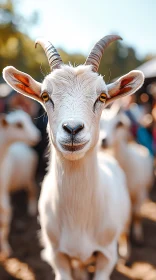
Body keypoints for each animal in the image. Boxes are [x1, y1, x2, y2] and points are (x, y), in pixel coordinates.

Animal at [0, 110, 40, 258]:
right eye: (19, 125)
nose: (37, 136)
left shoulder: (3, 198)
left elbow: (4, 223)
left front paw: (6, 250)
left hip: (29, 177)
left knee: (33, 190)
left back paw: (31, 209)